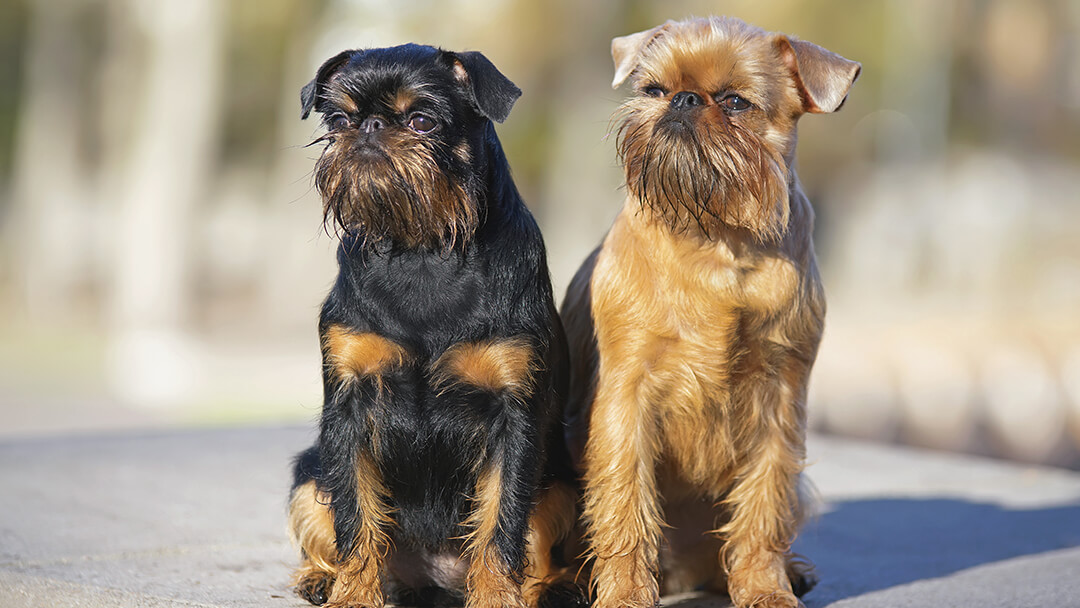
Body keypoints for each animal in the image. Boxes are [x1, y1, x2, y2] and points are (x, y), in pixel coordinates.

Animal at [282, 44, 578, 608]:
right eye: (338, 120)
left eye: (422, 120)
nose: (369, 125)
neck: (421, 249)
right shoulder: (348, 408)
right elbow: (355, 517)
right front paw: (354, 595)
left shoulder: (514, 415)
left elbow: (502, 520)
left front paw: (496, 597)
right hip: (309, 472)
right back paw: (321, 578)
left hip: (562, 483)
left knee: (536, 550)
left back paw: (550, 589)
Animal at [561, 14, 855, 608]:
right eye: (653, 90)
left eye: (737, 102)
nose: (684, 99)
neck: (717, 237)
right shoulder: (624, 401)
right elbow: (625, 502)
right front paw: (625, 593)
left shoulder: (780, 401)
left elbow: (764, 504)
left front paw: (765, 588)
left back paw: (783, 573)